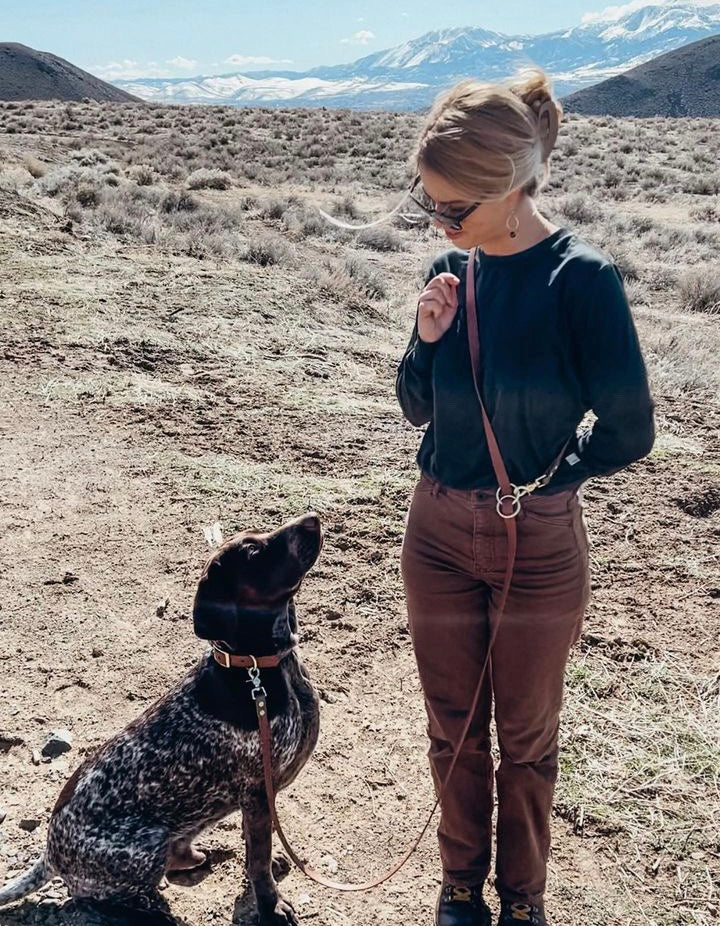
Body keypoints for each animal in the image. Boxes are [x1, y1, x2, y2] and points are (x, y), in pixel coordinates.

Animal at [0, 512, 322, 924]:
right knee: (99, 896)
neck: (256, 669)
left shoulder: (259, 798)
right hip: (144, 847)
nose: (312, 519)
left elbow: (255, 848)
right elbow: (258, 861)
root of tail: (51, 854)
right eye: (252, 550)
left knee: (176, 859)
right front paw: (270, 906)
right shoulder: (256, 792)